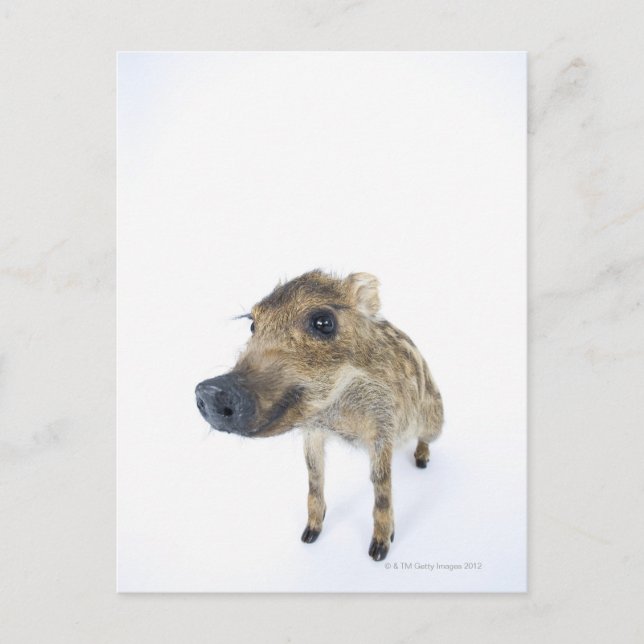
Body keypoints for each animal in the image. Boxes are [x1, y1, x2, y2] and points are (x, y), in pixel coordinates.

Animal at [195, 270, 443, 561]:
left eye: (323, 322)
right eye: (253, 326)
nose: (211, 390)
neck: (337, 412)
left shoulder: (383, 427)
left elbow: (381, 484)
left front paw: (378, 551)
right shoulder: (313, 431)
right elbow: (314, 475)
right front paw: (309, 535)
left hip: (435, 420)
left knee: (425, 439)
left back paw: (422, 461)